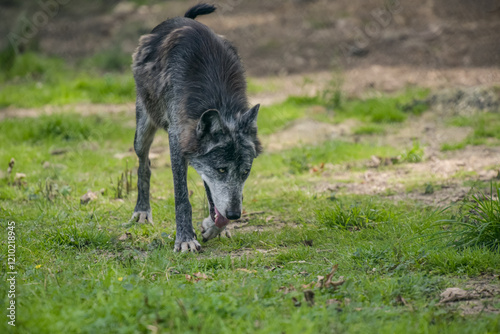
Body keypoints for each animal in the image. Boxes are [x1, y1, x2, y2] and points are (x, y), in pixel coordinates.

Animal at [129, 3, 262, 252]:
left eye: (245, 172)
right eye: (222, 170)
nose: (235, 214)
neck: (217, 98)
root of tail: (183, 18)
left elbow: (214, 199)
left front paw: (214, 227)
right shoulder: (176, 141)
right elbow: (182, 198)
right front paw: (185, 238)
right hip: (142, 131)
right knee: (144, 164)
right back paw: (142, 211)